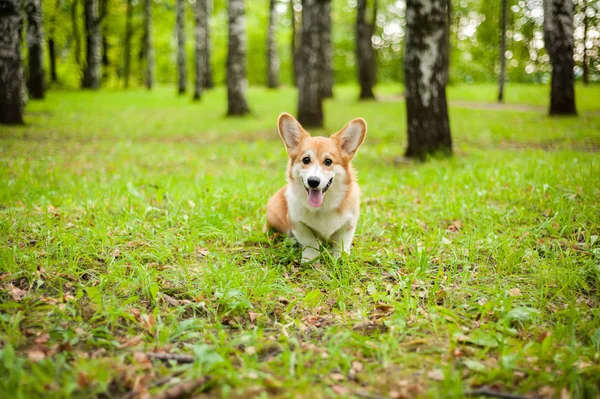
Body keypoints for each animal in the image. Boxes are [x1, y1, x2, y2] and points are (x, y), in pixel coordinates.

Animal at [266, 113, 366, 262]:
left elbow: (341, 243)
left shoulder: (349, 224)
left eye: (328, 161)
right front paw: (310, 260)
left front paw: (340, 259)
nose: (313, 181)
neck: (322, 207)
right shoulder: (297, 223)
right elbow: (310, 241)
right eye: (306, 160)